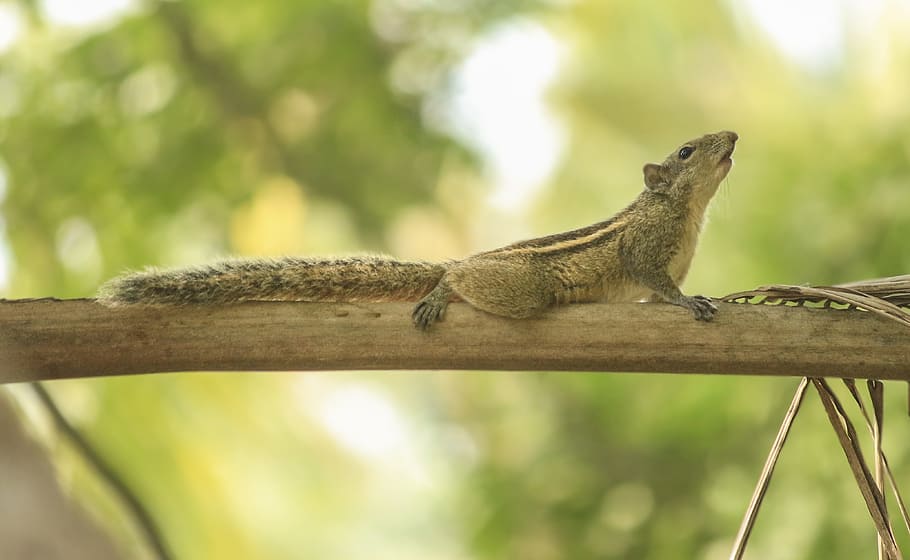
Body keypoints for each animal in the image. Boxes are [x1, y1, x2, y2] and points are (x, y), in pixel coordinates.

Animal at [97, 130, 738, 329]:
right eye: (687, 150)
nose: (732, 138)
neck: (691, 213)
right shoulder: (646, 249)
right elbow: (656, 280)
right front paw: (690, 304)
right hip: (524, 289)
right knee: (459, 277)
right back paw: (440, 290)